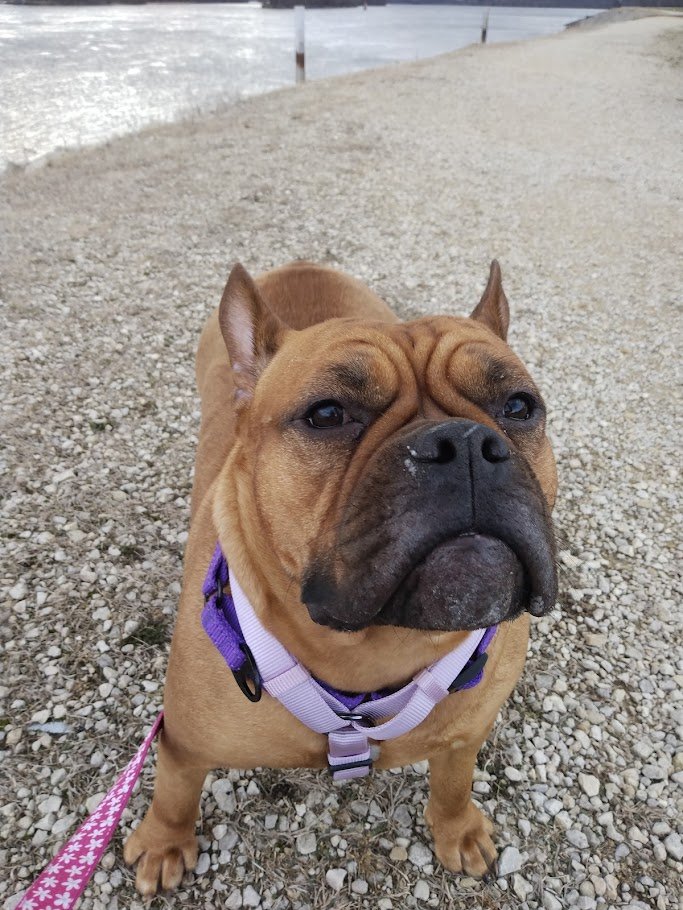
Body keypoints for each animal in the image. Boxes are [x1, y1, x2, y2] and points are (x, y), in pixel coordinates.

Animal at [124, 260, 557, 896]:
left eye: (520, 406)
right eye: (327, 415)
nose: (465, 444)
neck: (376, 652)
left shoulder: (464, 737)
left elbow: (454, 783)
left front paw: (457, 829)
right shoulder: (183, 745)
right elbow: (175, 792)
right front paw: (163, 842)